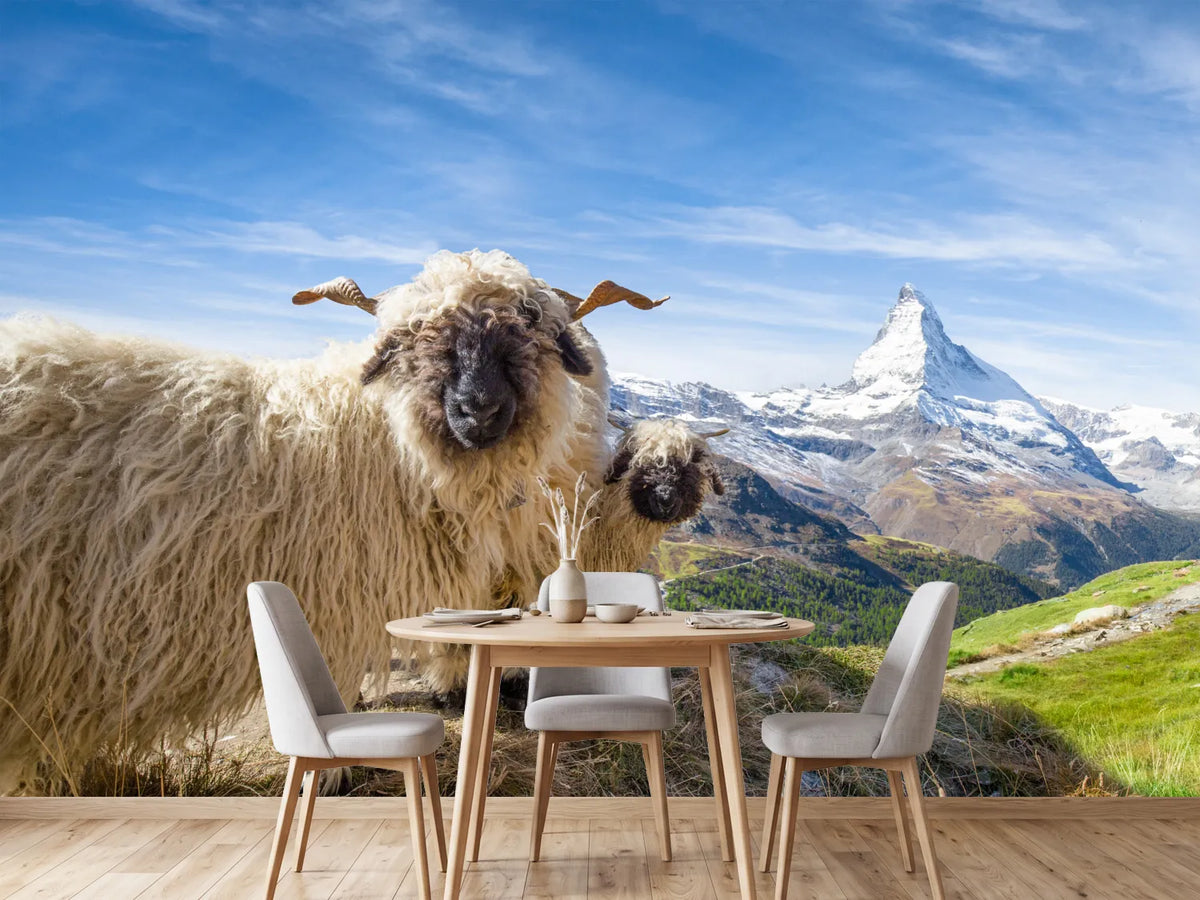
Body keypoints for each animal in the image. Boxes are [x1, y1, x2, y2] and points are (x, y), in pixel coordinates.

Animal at [0, 248, 666, 792]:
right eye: (414, 338)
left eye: (529, 325)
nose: (477, 410)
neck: (393, 445)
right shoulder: (333, 594)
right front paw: (334, 771)